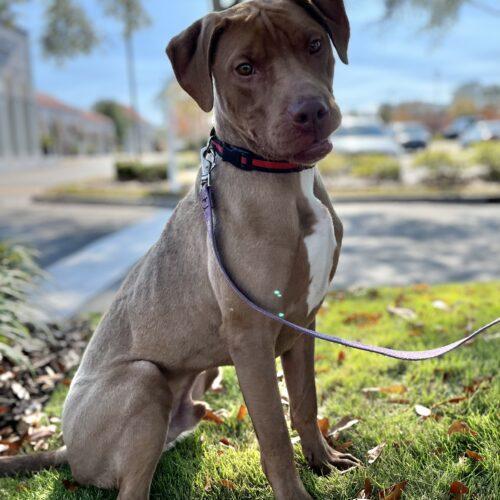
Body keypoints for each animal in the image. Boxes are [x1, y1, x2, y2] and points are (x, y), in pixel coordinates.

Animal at [0, 0, 360, 500]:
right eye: (244, 68)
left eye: (314, 44)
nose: (311, 111)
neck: (279, 177)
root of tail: (66, 450)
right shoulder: (252, 337)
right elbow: (273, 434)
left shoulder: (303, 323)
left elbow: (305, 402)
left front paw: (323, 461)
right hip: (143, 381)